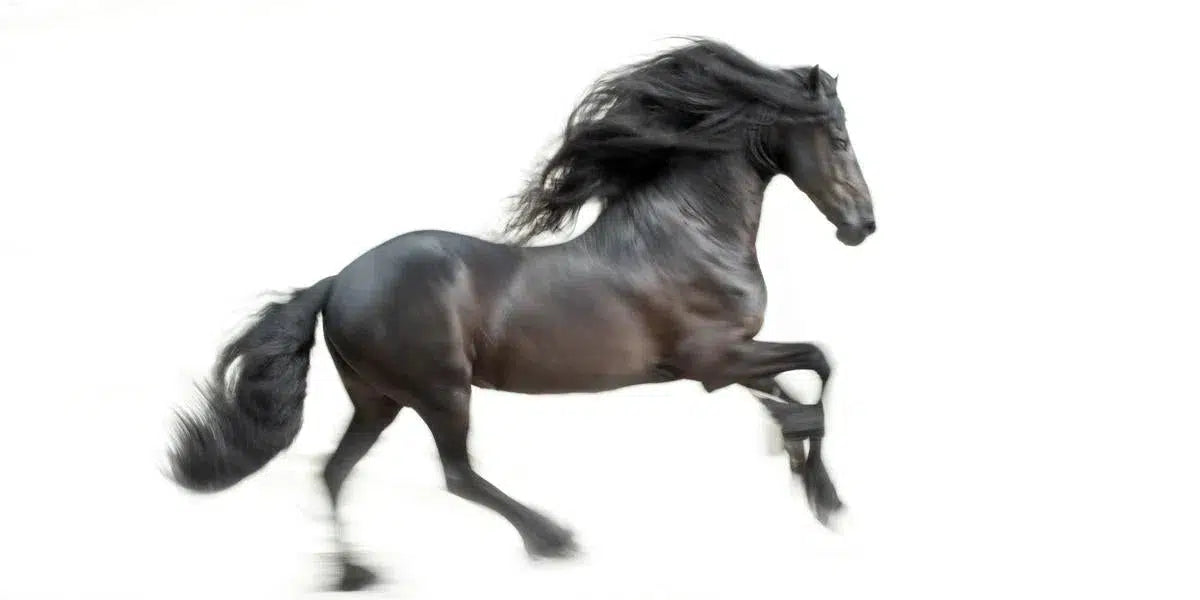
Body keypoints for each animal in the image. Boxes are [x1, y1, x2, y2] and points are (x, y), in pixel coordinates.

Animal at [166, 37, 876, 591]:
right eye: (839, 138)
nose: (862, 227)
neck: (689, 234)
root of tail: (338, 281)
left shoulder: (725, 361)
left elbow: (791, 387)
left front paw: (815, 484)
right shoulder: (713, 359)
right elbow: (819, 366)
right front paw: (819, 481)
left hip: (377, 400)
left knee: (334, 471)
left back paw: (353, 574)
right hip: (441, 392)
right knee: (456, 475)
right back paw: (551, 537)